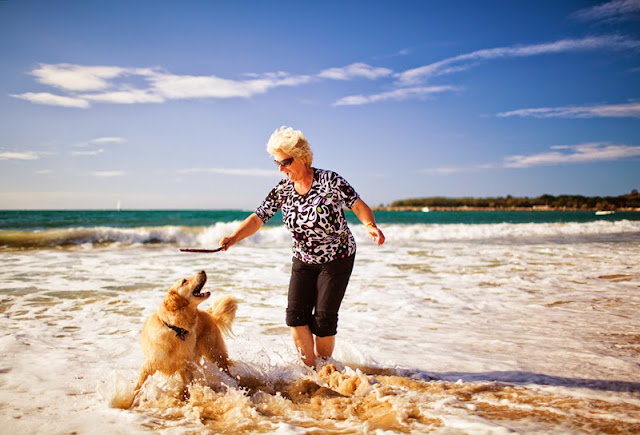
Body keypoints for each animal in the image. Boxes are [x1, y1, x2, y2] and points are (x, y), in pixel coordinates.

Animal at [132, 270, 238, 404]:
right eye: (184, 281)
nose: (202, 270)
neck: (175, 329)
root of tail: (208, 313)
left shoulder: (185, 366)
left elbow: (189, 385)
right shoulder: (149, 365)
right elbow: (138, 386)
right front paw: (130, 401)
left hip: (215, 353)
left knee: (225, 369)